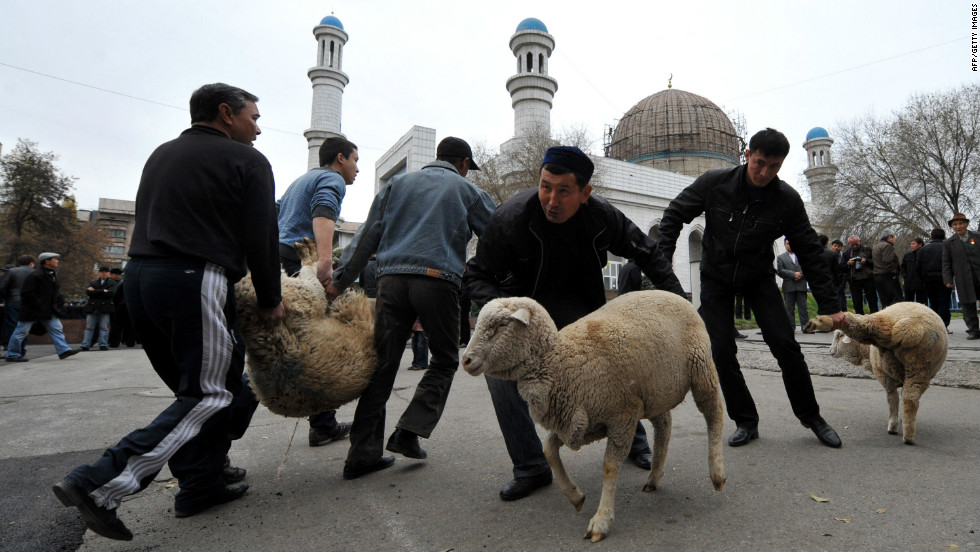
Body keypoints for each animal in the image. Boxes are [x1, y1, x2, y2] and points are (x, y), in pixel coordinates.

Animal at [462, 292, 728, 540]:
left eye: (503, 324)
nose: (465, 360)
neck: (559, 362)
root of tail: (675, 295)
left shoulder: (622, 415)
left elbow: (609, 467)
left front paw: (601, 520)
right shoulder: (578, 422)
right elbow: (549, 450)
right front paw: (575, 496)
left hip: (701, 368)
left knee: (714, 413)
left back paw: (717, 473)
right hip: (653, 392)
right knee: (665, 424)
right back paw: (654, 476)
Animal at [804, 300, 948, 446]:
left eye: (839, 335)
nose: (830, 351)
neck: (864, 352)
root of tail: (912, 325)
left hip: (889, 340)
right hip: (917, 367)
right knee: (904, 398)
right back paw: (905, 433)